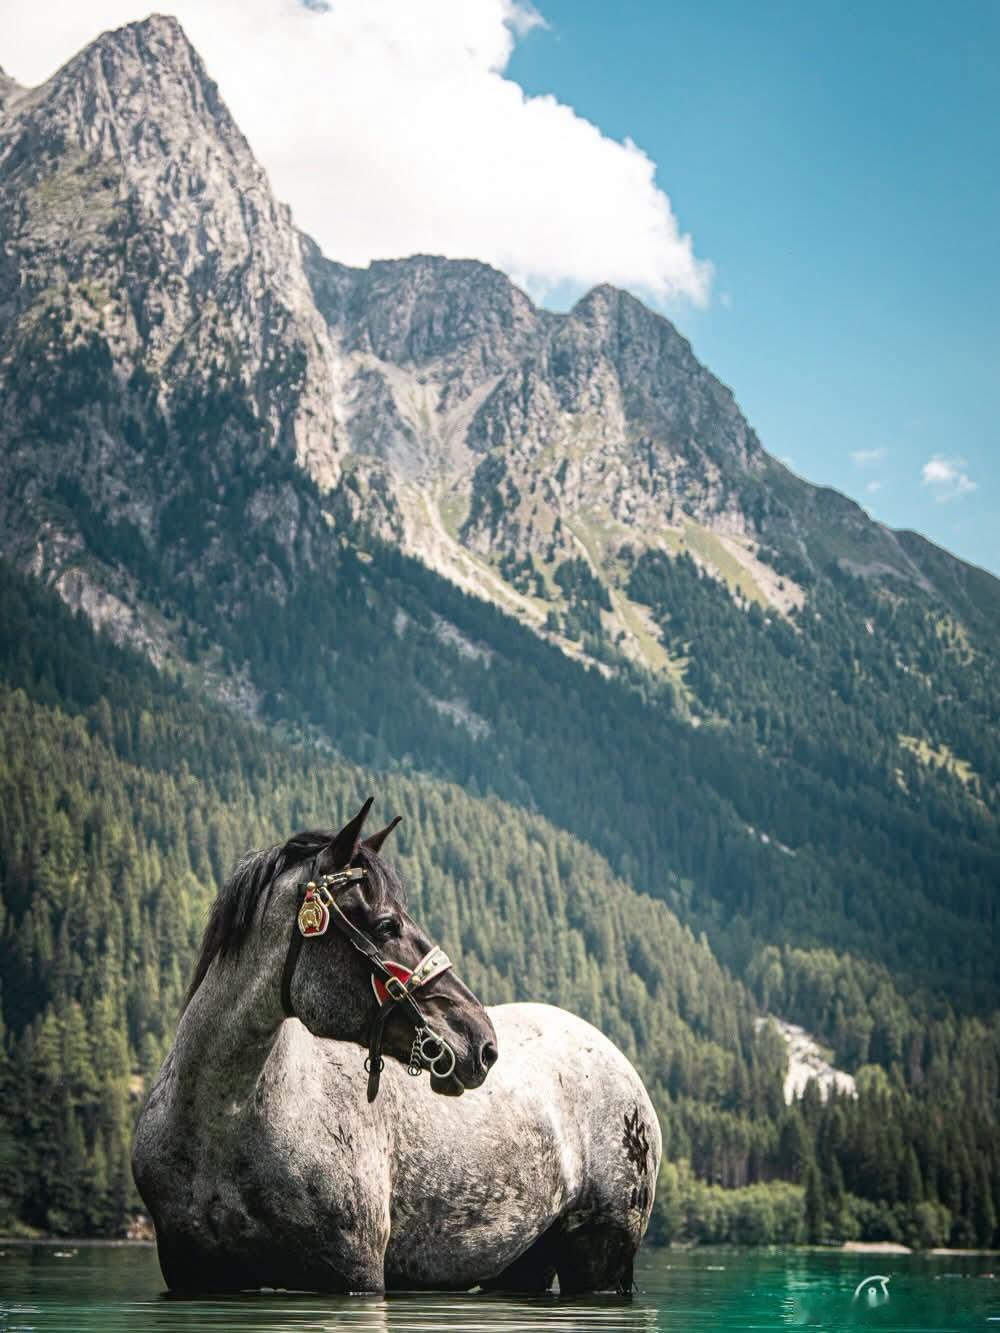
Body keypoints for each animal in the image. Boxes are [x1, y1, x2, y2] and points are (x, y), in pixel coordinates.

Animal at [132, 799, 662, 1295]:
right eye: (386, 924)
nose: (483, 1044)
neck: (218, 1125)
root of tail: (619, 1063)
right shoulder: (192, 1274)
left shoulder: (355, 1275)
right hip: (523, 1267)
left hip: (598, 1259)